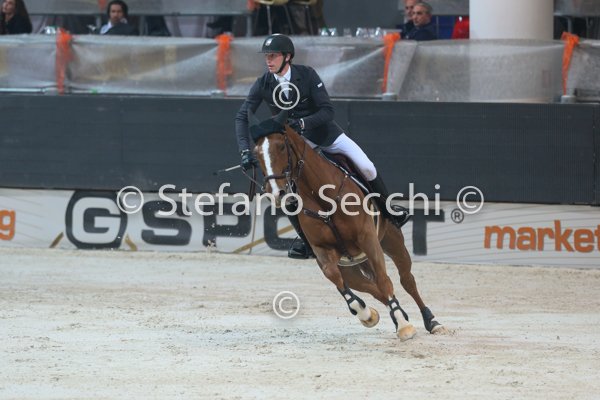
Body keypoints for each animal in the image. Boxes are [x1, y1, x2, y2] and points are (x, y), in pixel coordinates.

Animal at [248, 110, 446, 340]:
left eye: (281, 146)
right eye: (256, 153)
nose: (276, 193)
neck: (324, 198)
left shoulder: (368, 239)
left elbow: (385, 280)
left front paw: (405, 326)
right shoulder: (323, 252)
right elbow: (337, 278)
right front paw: (366, 314)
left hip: (391, 241)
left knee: (406, 280)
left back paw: (431, 322)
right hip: (351, 268)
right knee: (371, 287)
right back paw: (384, 314)